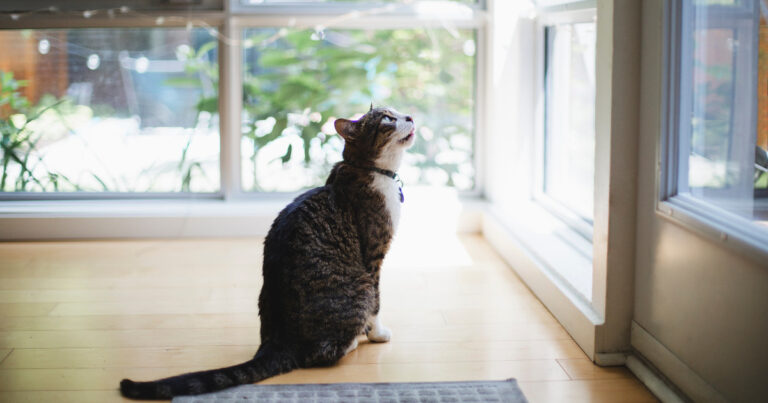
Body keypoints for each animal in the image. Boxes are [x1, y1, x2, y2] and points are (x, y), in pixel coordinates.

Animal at [121, 105, 416, 400]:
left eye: (398, 112)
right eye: (387, 119)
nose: (410, 117)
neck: (369, 170)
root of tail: (278, 341)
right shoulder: (373, 258)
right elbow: (377, 305)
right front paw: (377, 334)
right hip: (360, 285)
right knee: (323, 352)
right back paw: (353, 340)